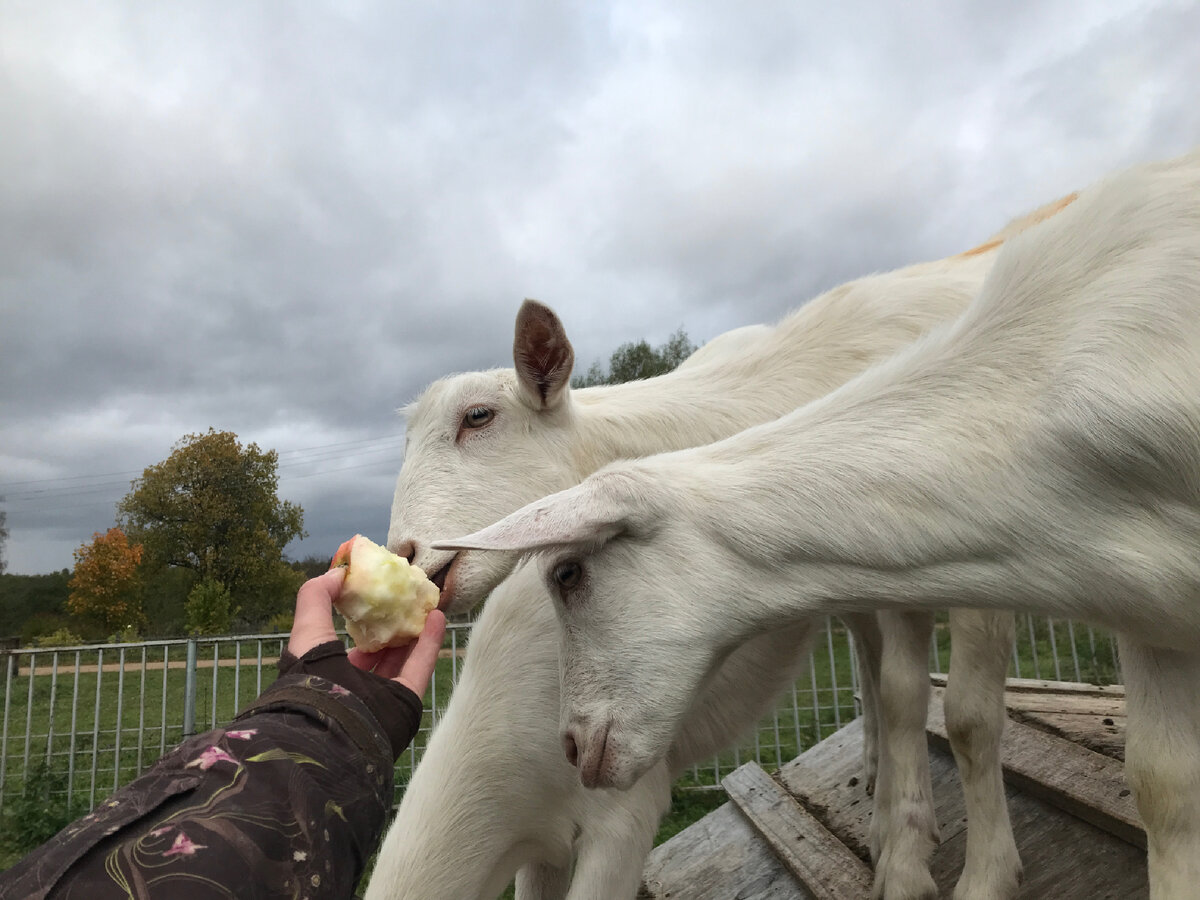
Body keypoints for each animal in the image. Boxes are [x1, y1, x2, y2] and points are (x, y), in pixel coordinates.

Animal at [439, 150, 1200, 900]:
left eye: (567, 573)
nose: (571, 748)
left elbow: (966, 714)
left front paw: (973, 875)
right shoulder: (1144, 617)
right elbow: (1163, 788)